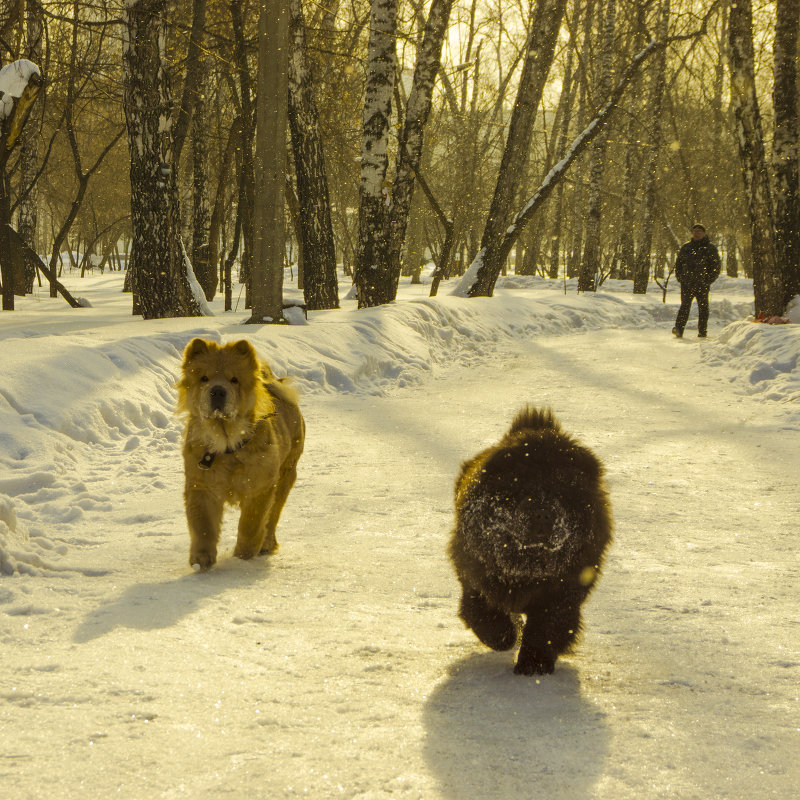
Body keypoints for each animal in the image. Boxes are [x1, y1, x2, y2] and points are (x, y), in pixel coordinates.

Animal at [450, 406, 612, 676]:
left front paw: (533, 664)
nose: (543, 513)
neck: (528, 565)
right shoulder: (476, 574)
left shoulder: (564, 591)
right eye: (521, 487)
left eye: (561, 491)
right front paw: (503, 636)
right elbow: (482, 613)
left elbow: (546, 628)